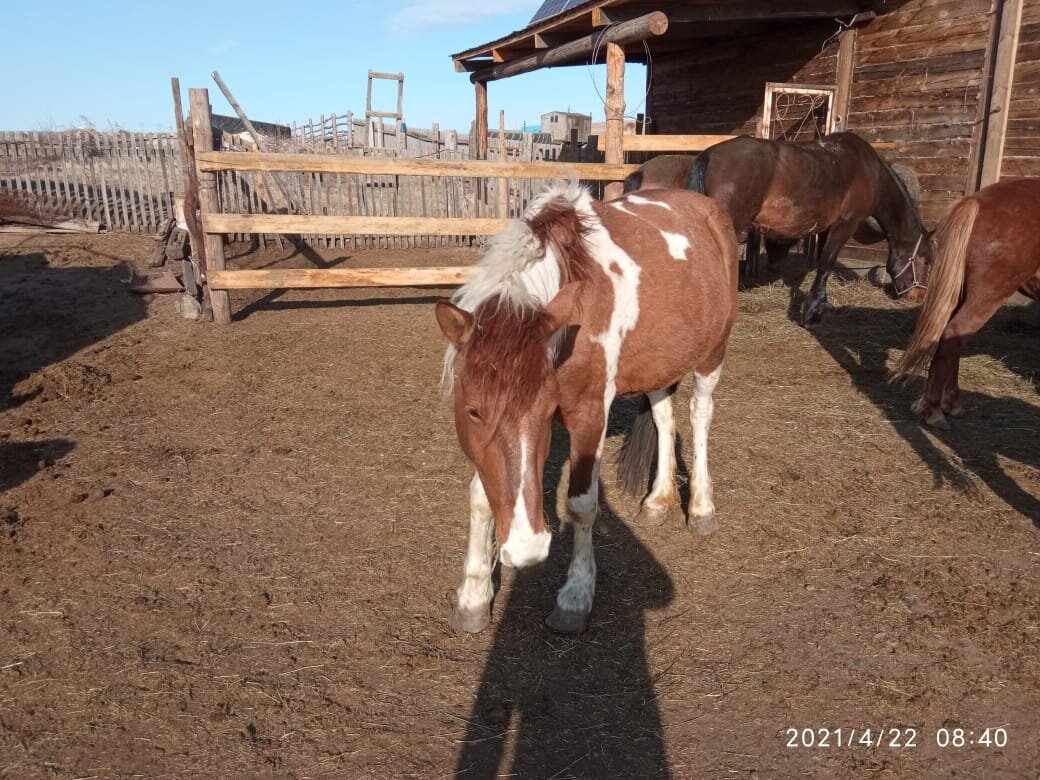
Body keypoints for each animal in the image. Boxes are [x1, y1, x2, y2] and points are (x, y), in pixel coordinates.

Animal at [438, 182, 740, 636]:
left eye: (547, 410)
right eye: (473, 411)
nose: (528, 548)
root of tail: (706, 205)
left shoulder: (589, 413)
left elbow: (581, 505)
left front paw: (575, 598)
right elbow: (480, 497)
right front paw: (473, 598)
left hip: (712, 355)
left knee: (700, 415)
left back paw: (702, 508)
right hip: (660, 362)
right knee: (664, 418)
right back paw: (657, 501)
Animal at [619, 133, 931, 322]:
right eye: (926, 260)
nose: (918, 294)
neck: (868, 169)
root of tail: (709, 155)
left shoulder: (827, 227)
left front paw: (822, 303)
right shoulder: (846, 223)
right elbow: (826, 263)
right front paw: (812, 312)